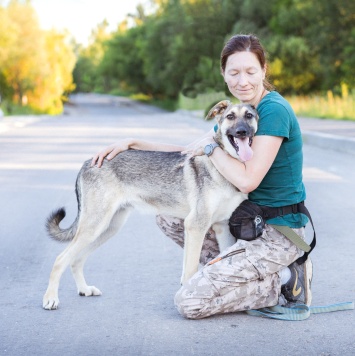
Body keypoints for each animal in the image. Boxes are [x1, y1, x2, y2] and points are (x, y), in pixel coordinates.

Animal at [42, 100, 258, 308]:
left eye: (249, 116)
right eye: (230, 116)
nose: (242, 132)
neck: (226, 168)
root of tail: (87, 162)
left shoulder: (222, 228)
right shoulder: (196, 225)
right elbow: (190, 271)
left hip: (108, 228)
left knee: (76, 260)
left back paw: (84, 289)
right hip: (94, 226)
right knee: (60, 259)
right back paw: (50, 299)